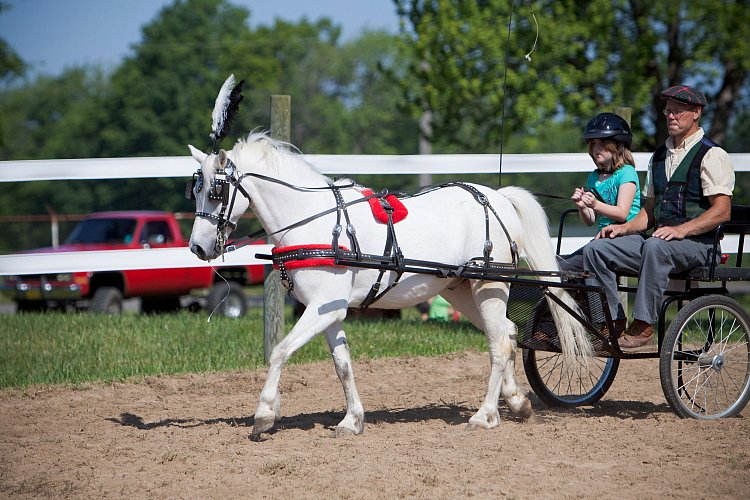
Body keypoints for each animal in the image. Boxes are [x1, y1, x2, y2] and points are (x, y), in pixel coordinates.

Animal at [189, 132, 592, 438]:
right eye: (195, 190)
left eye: (215, 191)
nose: (197, 247)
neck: (316, 223)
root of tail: (496, 197)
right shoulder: (329, 312)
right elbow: (342, 365)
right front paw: (352, 421)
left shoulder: (323, 307)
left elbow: (280, 351)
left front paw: (264, 415)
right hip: (462, 290)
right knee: (507, 333)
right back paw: (517, 403)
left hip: (489, 289)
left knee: (499, 345)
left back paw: (485, 415)